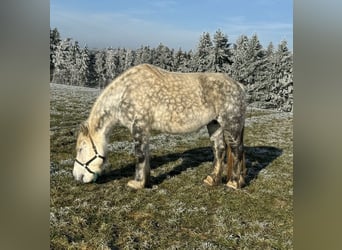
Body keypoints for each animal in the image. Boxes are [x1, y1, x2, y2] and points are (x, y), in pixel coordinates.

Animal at [73, 63, 247, 188]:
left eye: (81, 149)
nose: (77, 176)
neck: (125, 92)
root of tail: (238, 85)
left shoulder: (139, 127)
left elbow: (139, 155)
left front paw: (137, 183)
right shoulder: (144, 130)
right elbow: (145, 154)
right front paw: (146, 181)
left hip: (231, 124)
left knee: (237, 150)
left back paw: (234, 183)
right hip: (215, 124)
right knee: (219, 149)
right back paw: (212, 179)